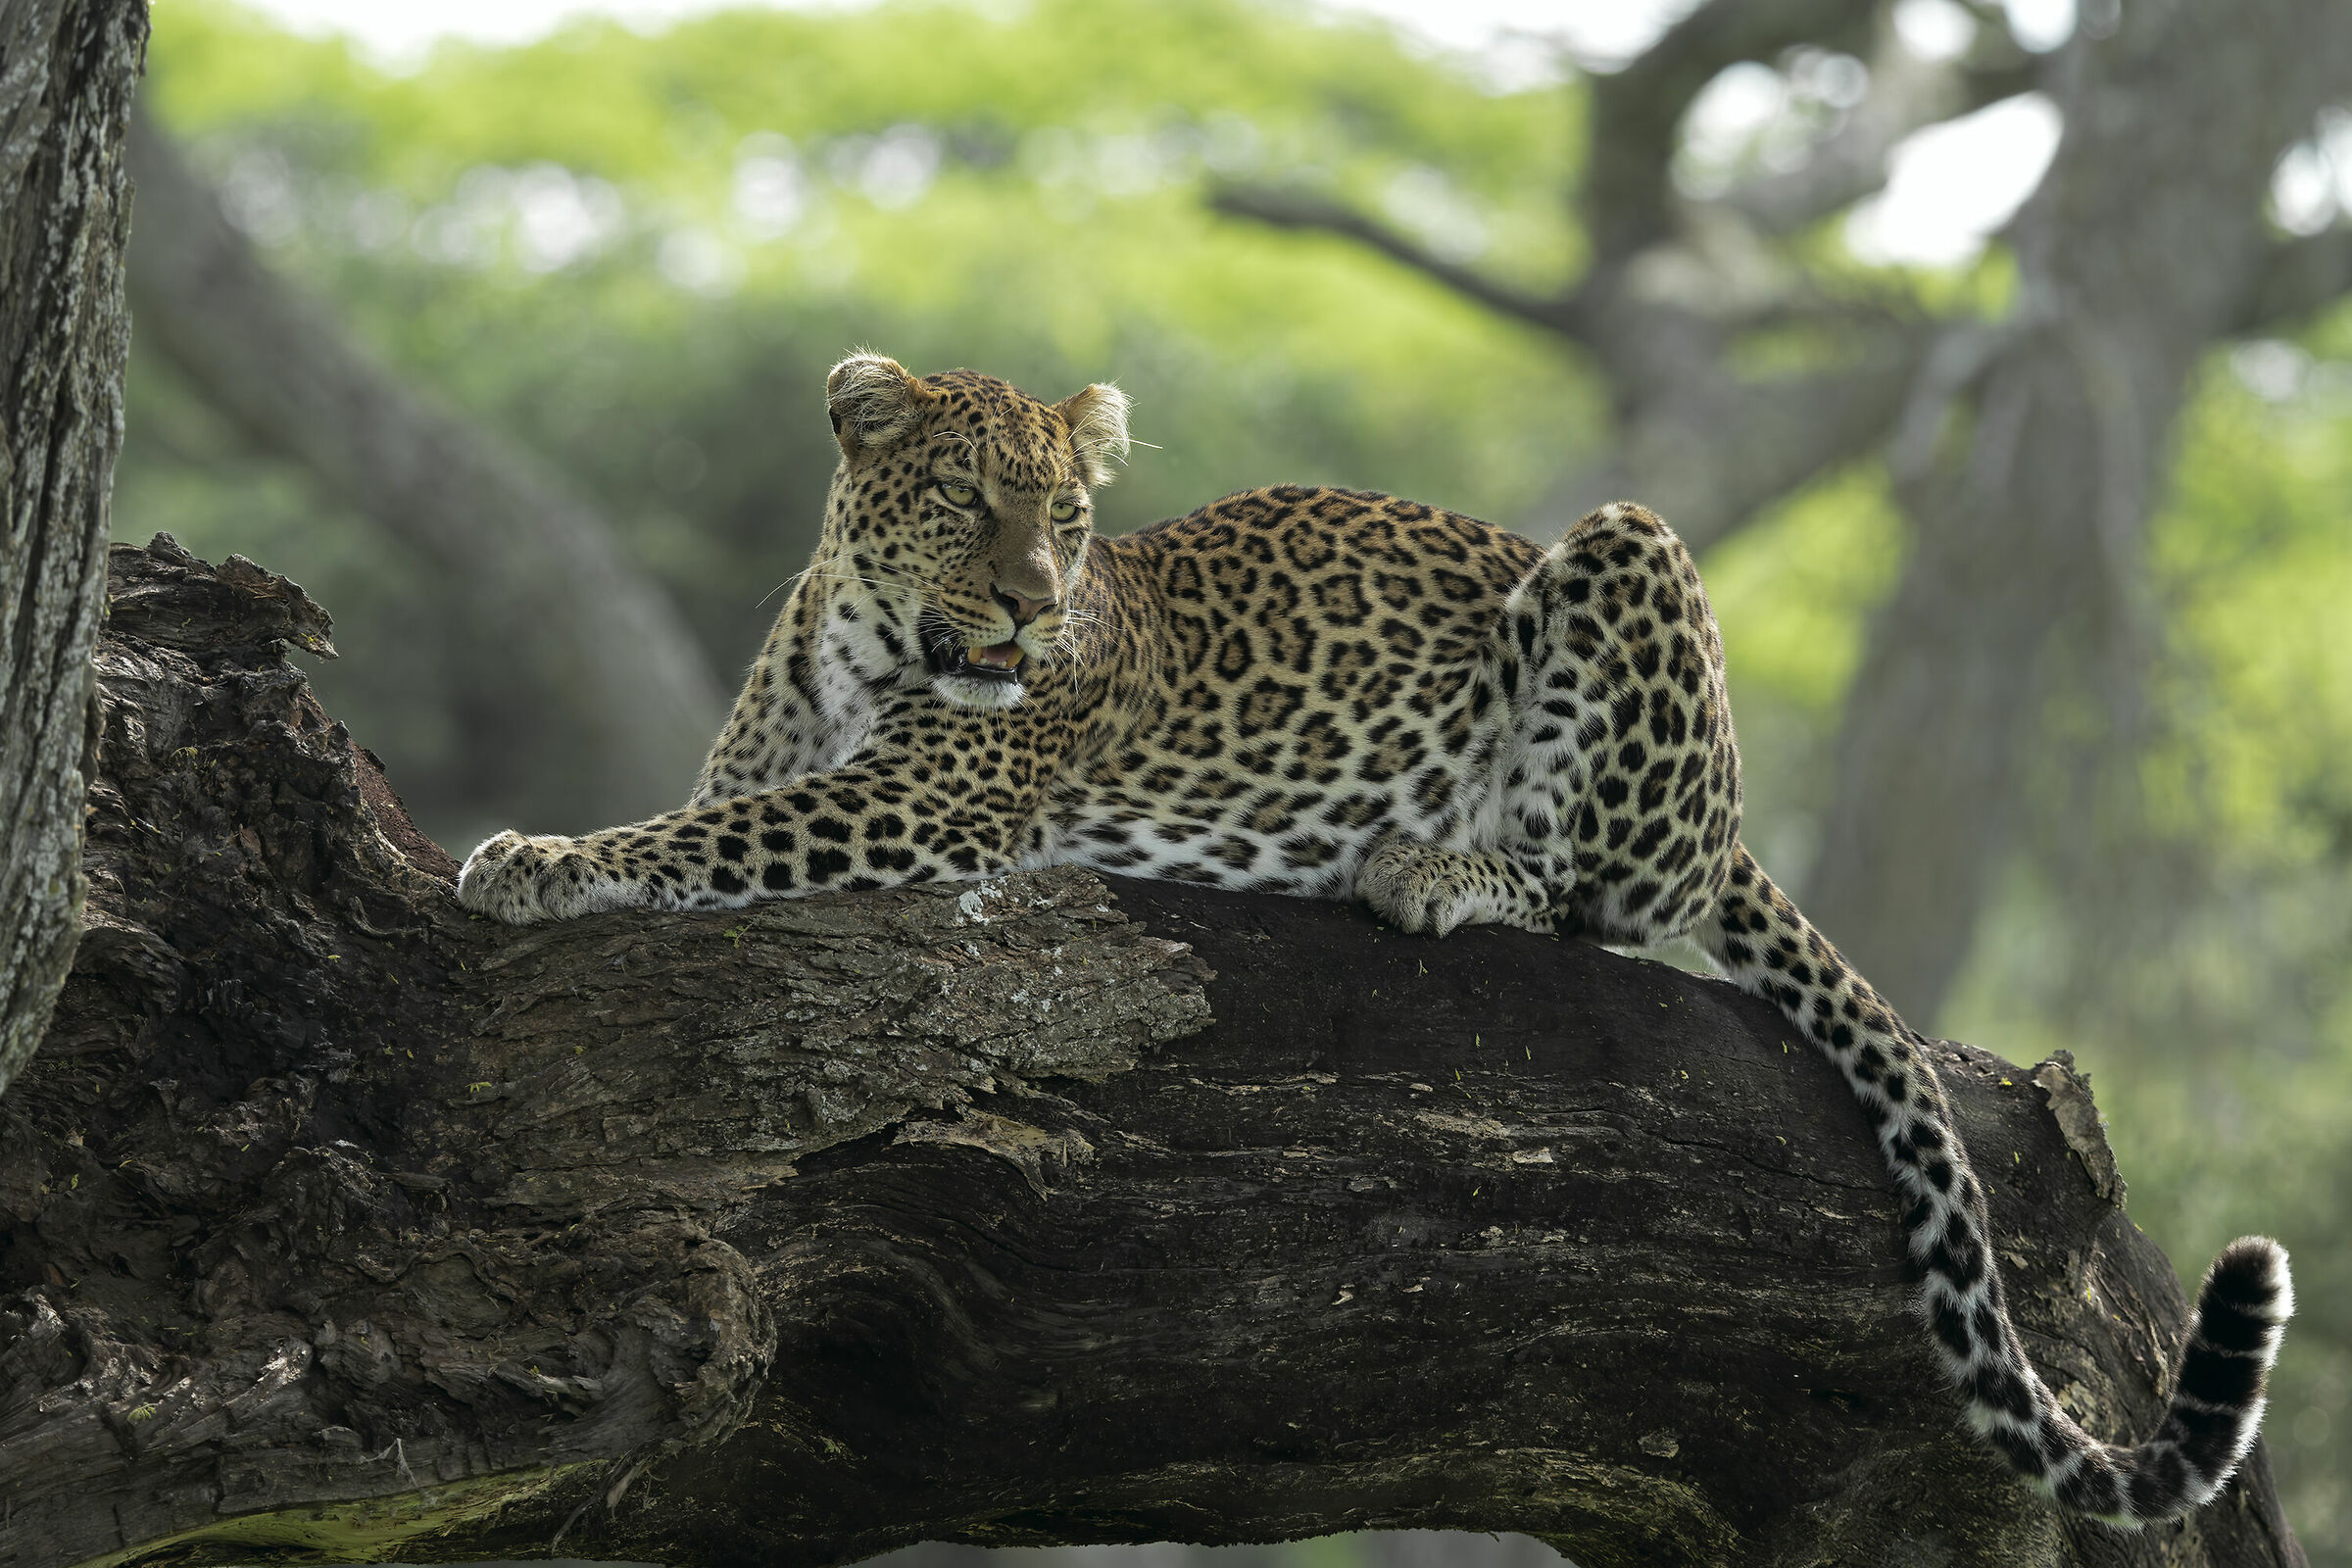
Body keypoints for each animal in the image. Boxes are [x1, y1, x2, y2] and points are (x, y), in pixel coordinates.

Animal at [458, 353, 2291, 1524]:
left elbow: (704, 841)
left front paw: (531, 859)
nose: (1034, 611)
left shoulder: (931, 802)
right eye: (970, 503)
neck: (861, 641)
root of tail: (1735, 823)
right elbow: (709, 809)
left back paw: (1434, 867)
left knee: (1607, 900)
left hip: (1627, 562)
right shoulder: (810, 765)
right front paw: (545, 844)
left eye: (1066, 524)